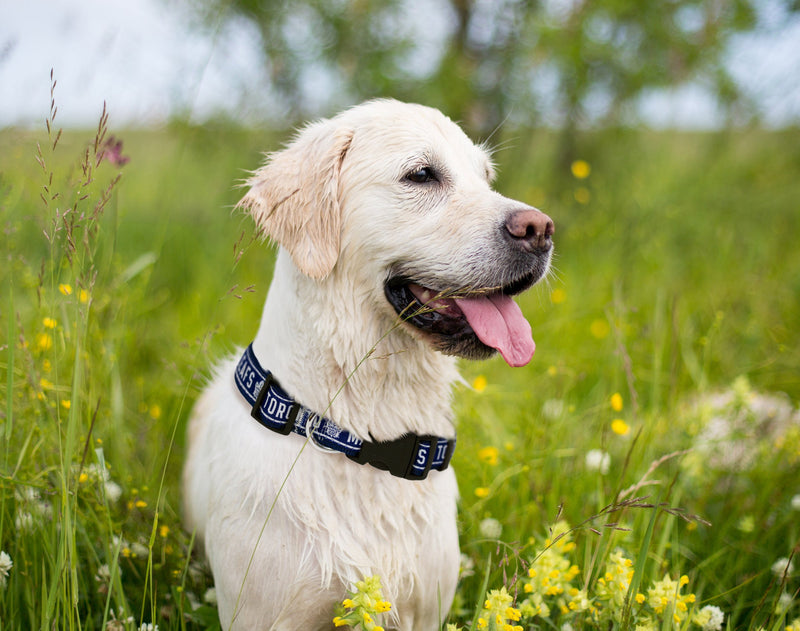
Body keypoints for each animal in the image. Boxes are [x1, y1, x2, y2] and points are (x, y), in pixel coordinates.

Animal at [184, 101, 552, 628]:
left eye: (486, 178)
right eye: (421, 175)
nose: (540, 230)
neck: (367, 439)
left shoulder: (426, 608)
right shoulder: (261, 612)